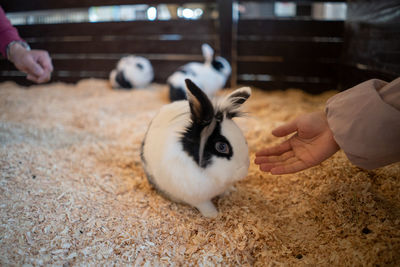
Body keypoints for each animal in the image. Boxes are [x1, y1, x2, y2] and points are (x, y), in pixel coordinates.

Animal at [141, 78, 250, 219]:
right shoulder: (197, 198)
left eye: (244, 140)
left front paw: (229, 191)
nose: (244, 170)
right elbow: (205, 206)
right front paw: (213, 215)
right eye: (221, 147)